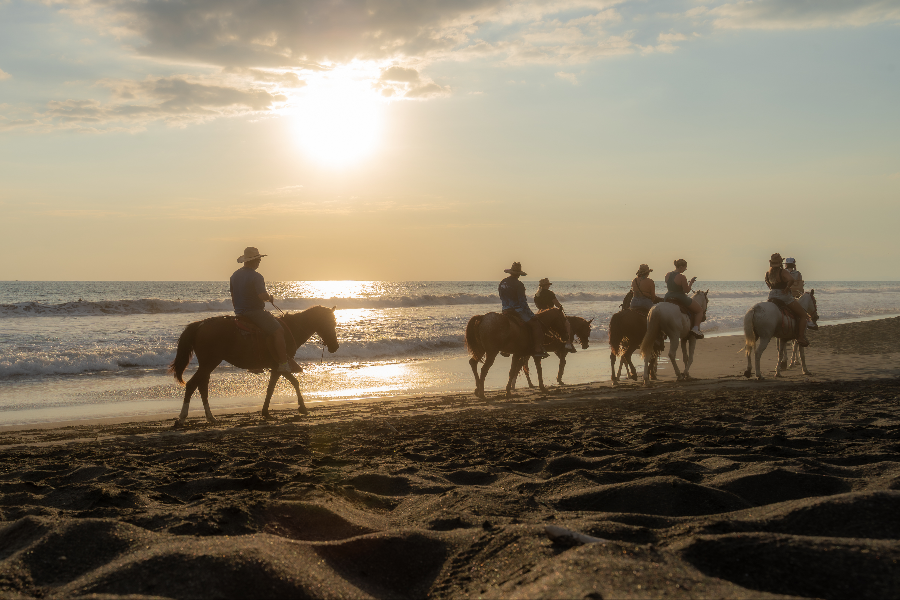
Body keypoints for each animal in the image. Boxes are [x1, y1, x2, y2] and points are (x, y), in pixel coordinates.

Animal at [168, 304, 338, 426]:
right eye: (330, 323)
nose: (335, 346)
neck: (291, 329)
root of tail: (201, 324)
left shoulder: (275, 368)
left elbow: (271, 389)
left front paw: (265, 412)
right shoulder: (280, 365)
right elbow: (294, 382)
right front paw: (302, 407)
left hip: (208, 364)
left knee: (202, 386)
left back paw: (210, 417)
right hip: (209, 363)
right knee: (192, 385)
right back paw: (182, 417)